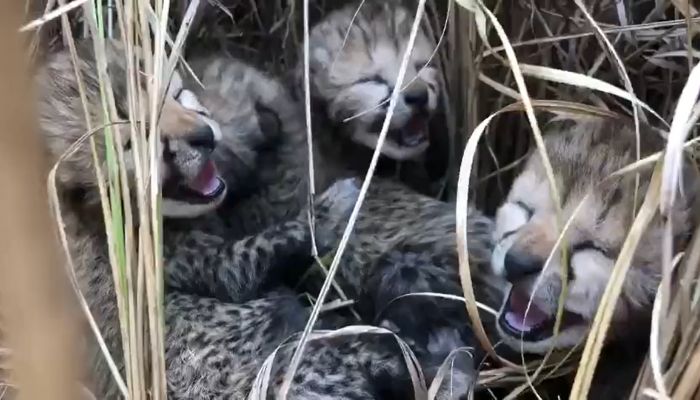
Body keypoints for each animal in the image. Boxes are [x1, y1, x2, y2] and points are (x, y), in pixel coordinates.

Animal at [33, 39, 422, 400]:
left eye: (176, 95)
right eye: (136, 140)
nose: (204, 136)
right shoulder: (188, 264)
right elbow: (249, 259)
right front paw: (332, 207)